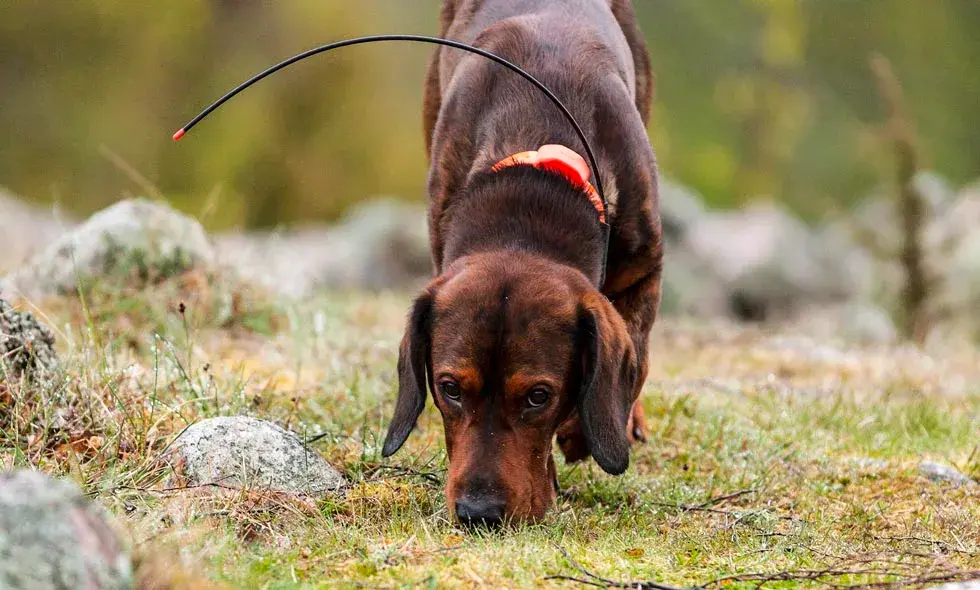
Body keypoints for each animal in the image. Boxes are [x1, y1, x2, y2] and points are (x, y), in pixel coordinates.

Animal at [378, 0, 664, 528]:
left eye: (538, 396)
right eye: (449, 388)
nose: (478, 512)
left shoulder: (645, 268)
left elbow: (638, 353)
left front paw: (588, 428)